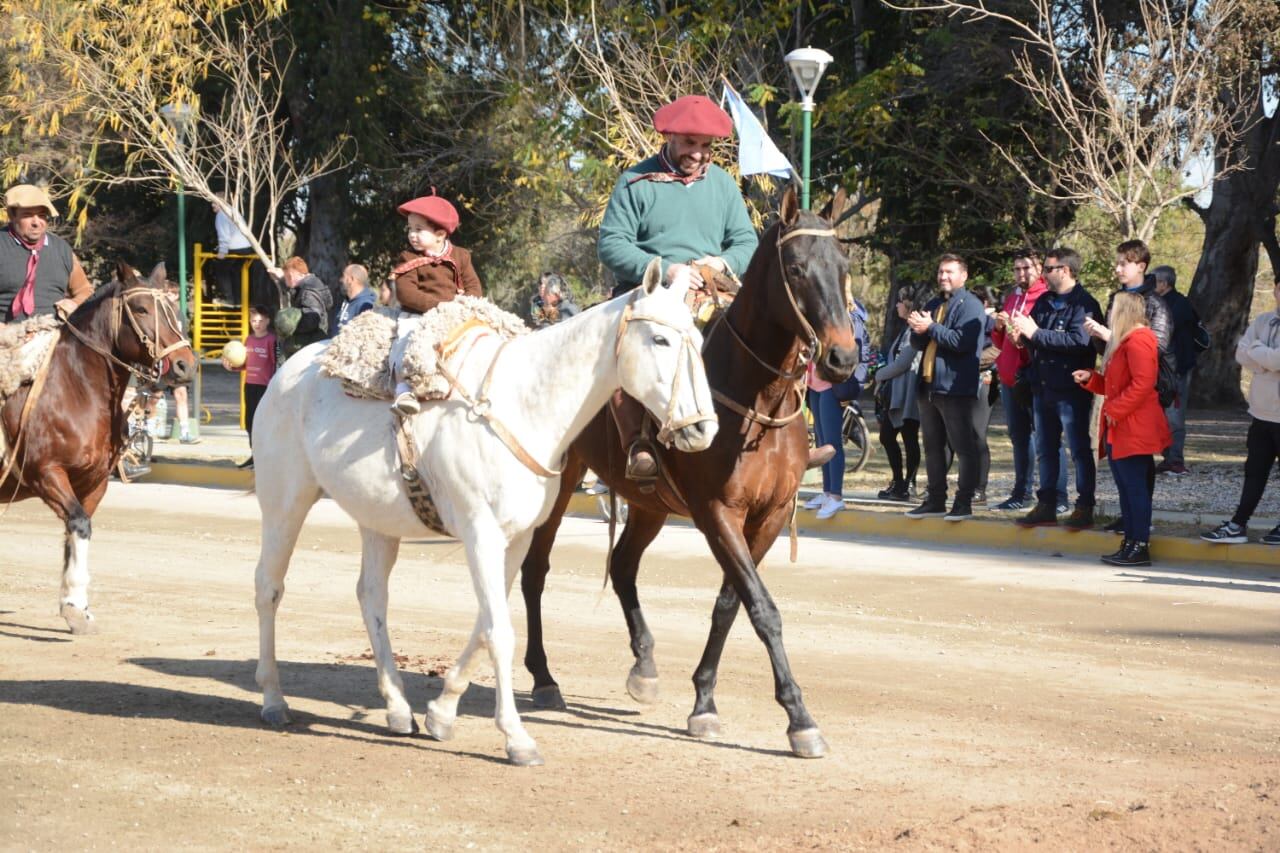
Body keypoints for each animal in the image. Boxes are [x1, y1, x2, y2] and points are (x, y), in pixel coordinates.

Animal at [1, 263, 195, 630]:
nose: (184, 365)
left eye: (172, 309)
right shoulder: (45, 473)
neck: (75, 388)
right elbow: (79, 524)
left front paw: (75, 604)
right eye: (141, 309)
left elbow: (76, 532)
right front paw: (75, 606)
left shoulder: (94, 481)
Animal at [249, 266, 721, 763]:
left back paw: (397, 707)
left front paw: (441, 713)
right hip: (285, 503)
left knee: (371, 597)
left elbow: (484, 624)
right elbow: (500, 631)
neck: (525, 405)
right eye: (660, 339)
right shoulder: (481, 534)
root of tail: (289, 371)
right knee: (269, 588)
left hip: (377, 521)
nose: (702, 428)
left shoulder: (517, 538)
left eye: (696, 336)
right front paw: (516, 737)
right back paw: (274, 699)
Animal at [519, 184, 860, 753]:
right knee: (535, 570)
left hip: (649, 503)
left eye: (843, 265)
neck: (756, 399)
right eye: (795, 268)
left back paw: (644, 666)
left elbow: (731, 603)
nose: (843, 358)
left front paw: (703, 701)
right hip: (561, 481)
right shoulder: (716, 512)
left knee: (622, 565)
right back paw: (544, 678)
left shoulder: (767, 518)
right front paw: (798, 716)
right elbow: (762, 608)